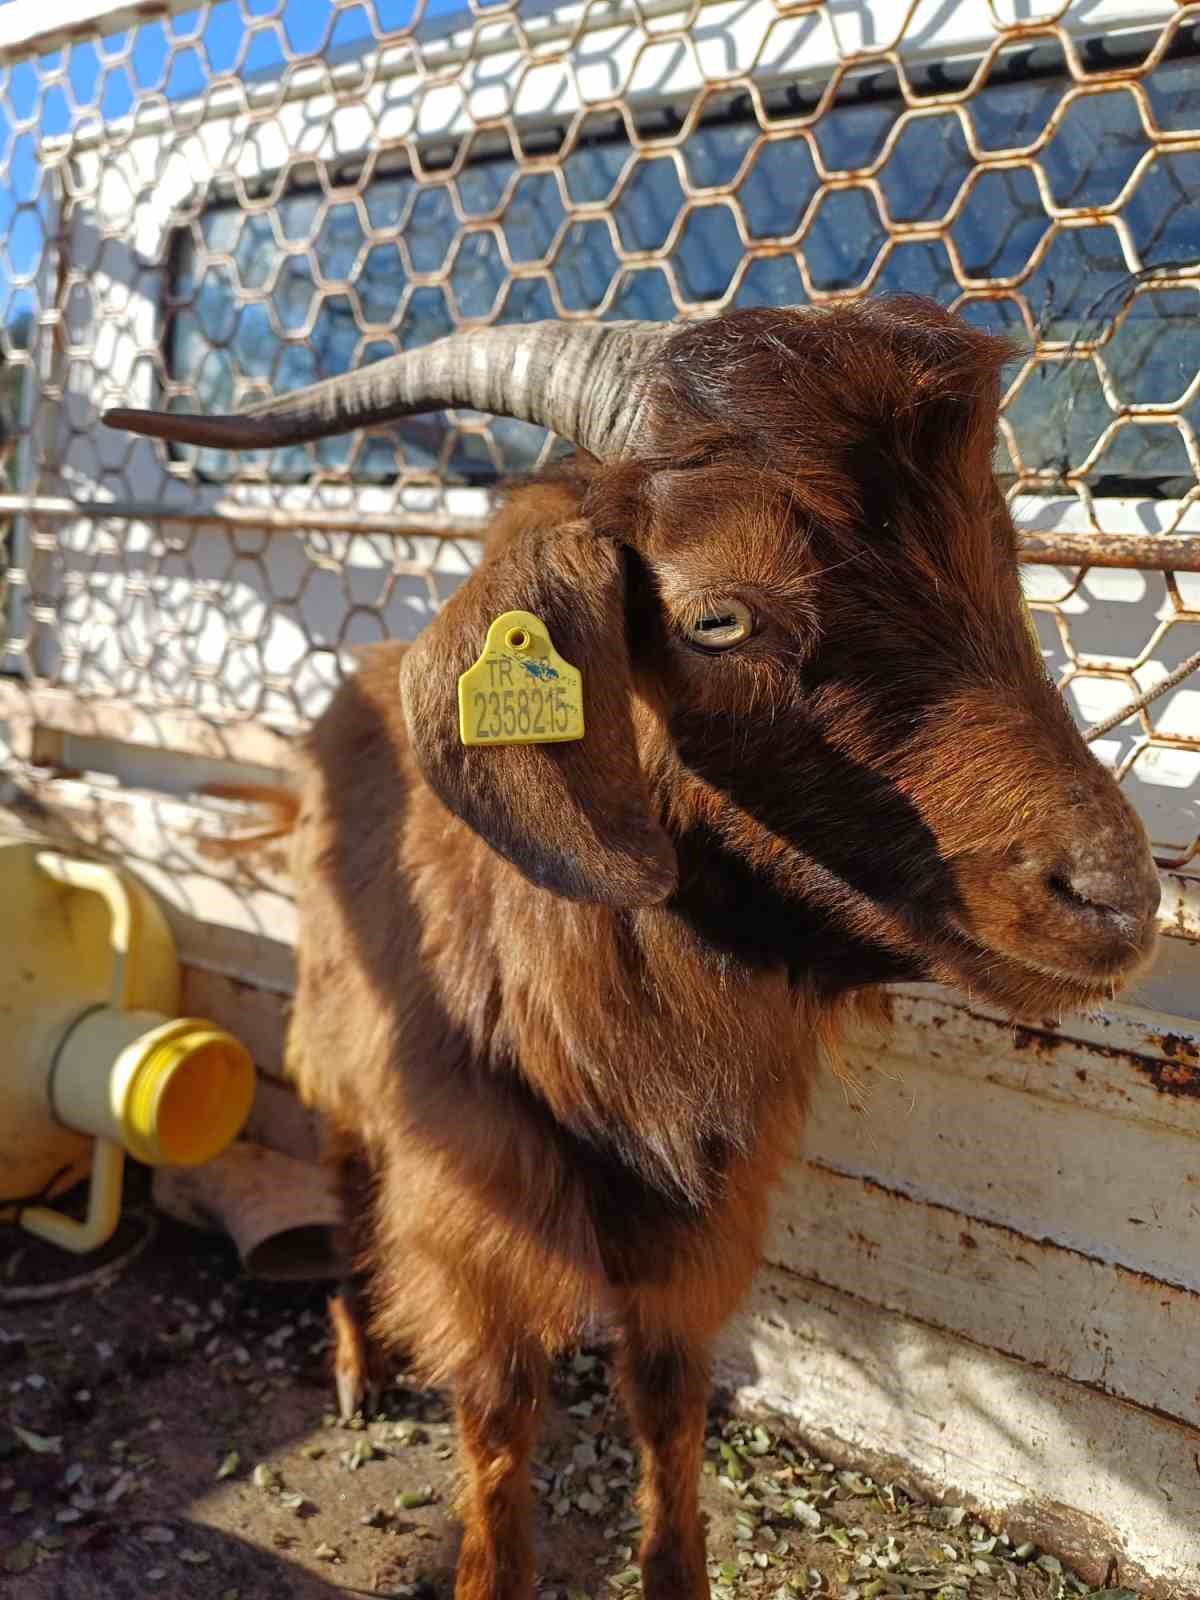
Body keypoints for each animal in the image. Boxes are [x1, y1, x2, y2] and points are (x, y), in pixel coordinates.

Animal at [108, 300, 1158, 1600]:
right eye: (718, 617)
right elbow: (500, 1421)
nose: (1118, 899)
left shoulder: (700, 1210)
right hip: (335, 1023)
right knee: (344, 1168)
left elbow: (667, 1406)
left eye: (995, 563)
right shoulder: (473, 1201)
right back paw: (355, 1361)